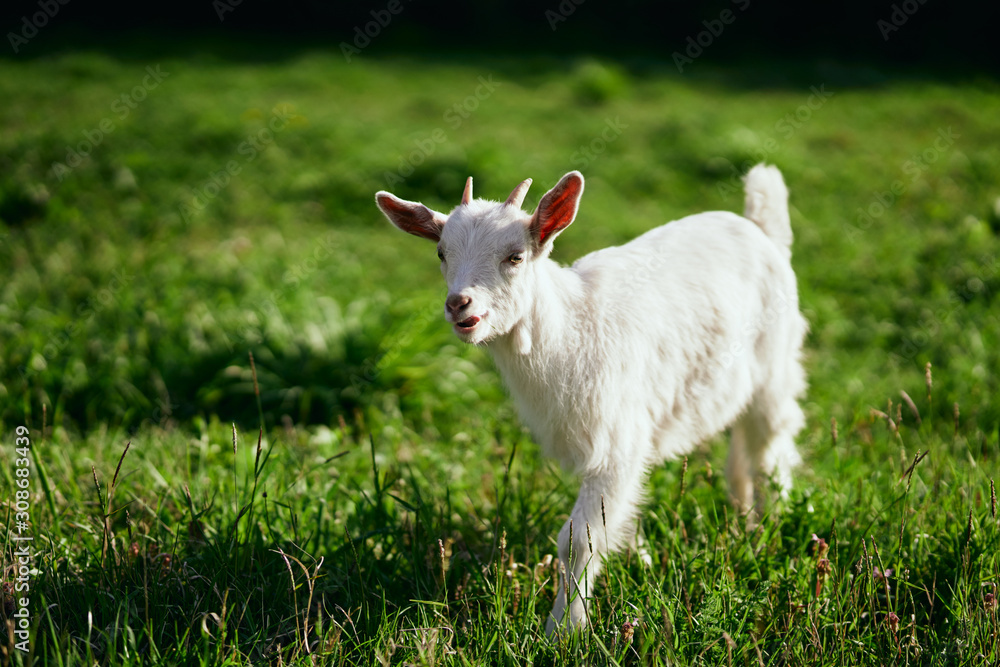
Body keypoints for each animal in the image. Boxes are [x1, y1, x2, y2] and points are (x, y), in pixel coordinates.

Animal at [375, 164, 807, 632]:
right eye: (441, 253)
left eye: (515, 256)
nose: (459, 304)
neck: (569, 328)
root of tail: (759, 226)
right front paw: (640, 560)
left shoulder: (616, 443)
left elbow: (578, 540)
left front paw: (564, 630)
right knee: (743, 447)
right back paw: (745, 522)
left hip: (776, 367)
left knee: (770, 449)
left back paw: (771, 525)